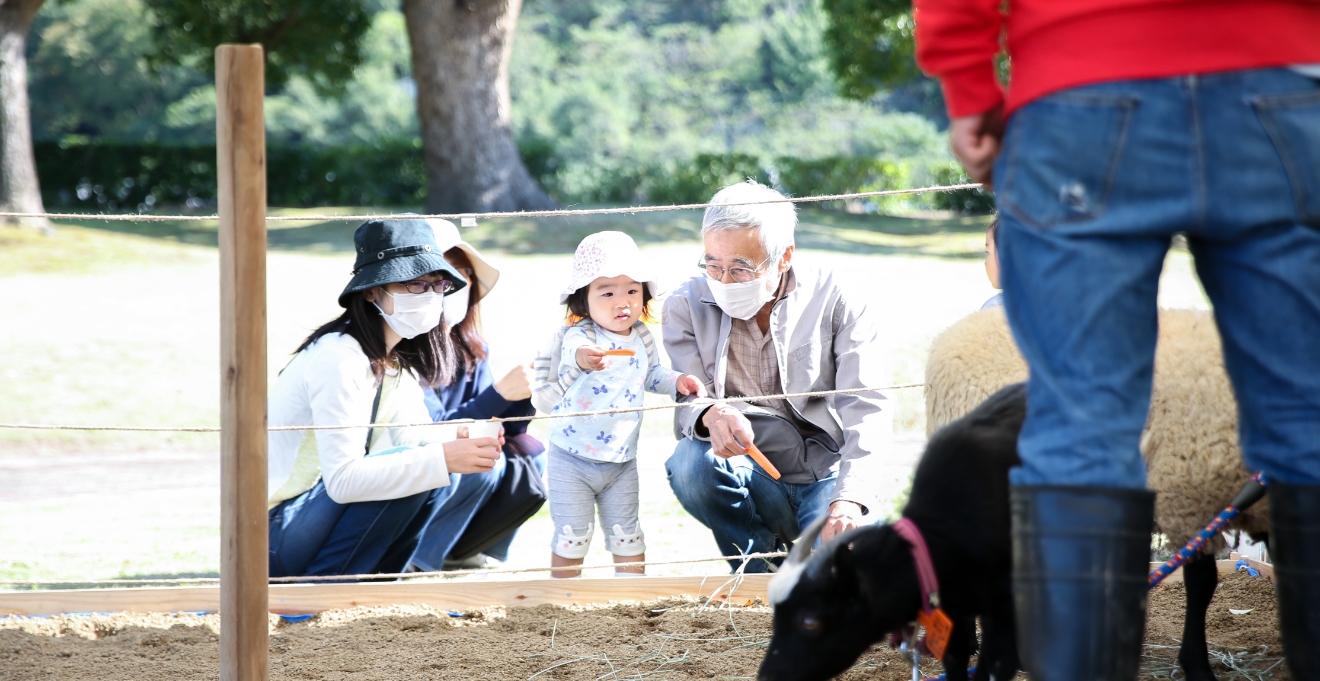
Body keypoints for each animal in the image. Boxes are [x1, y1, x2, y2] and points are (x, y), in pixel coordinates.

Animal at [755, 382, 1029, 681]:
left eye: (810, 621)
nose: (767, 676)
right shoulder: (953, 613)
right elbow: (957, 660)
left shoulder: (1005, 609)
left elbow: (996, 665)